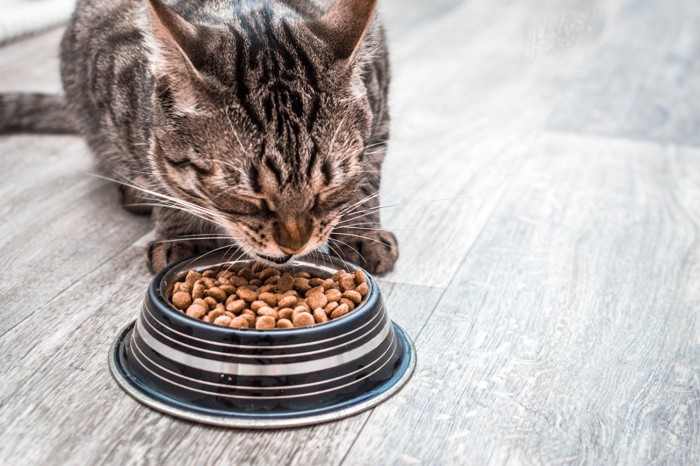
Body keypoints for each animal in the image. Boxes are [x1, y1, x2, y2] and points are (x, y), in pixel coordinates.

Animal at [0, 0, 400, 274]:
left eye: (328, 188)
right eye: (246, 197)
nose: (295, 245)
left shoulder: (379, 106)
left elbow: (367, 179)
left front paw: (361, 232)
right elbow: (160, 180)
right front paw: (180, 234)